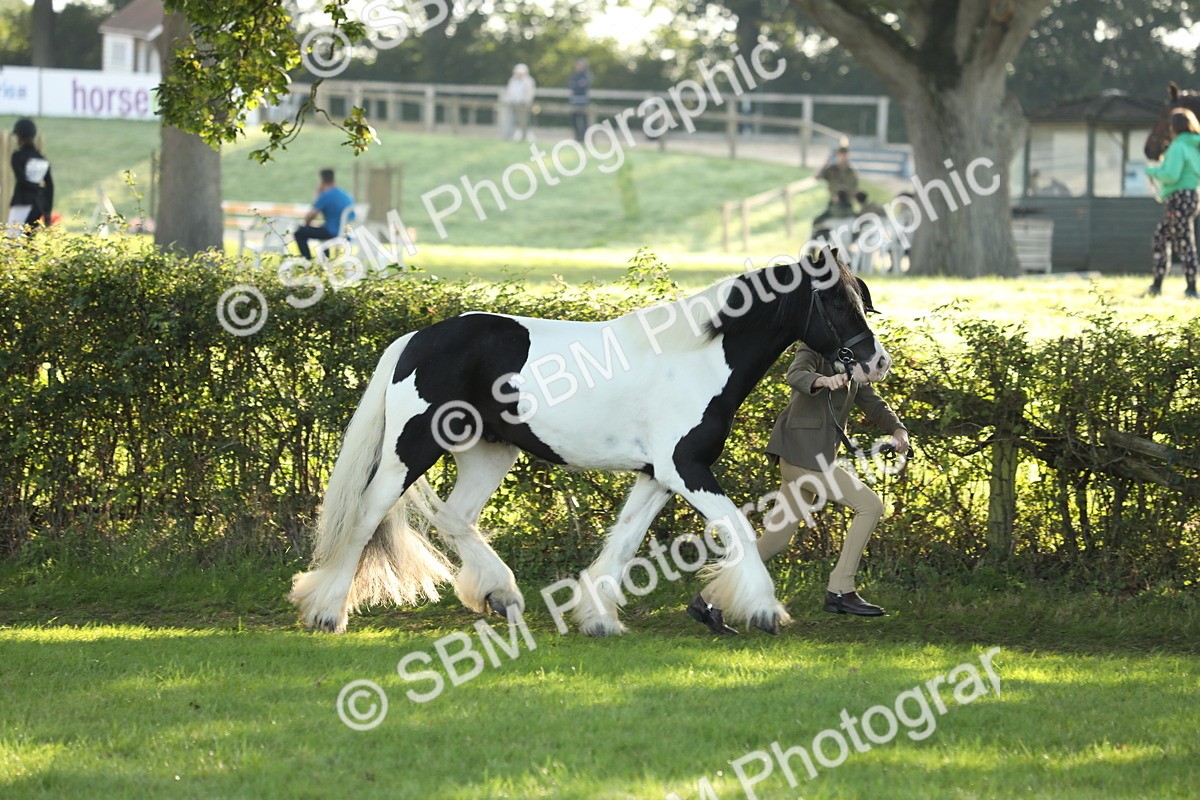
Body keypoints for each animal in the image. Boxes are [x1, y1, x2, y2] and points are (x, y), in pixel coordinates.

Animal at [288, 249, 892, 637]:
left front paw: (598, 618)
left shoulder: (657, 475)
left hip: (489, 453)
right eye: (835, 302)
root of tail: (416, 338)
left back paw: (502, 595)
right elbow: (736, 528)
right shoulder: (685, 468)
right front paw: (766, 611)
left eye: (858, 297)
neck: (698, 358)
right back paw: (328, 613)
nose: (875, 362)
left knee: (454, 519)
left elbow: (624, 540)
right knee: (367, 514)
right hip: (410, 450)